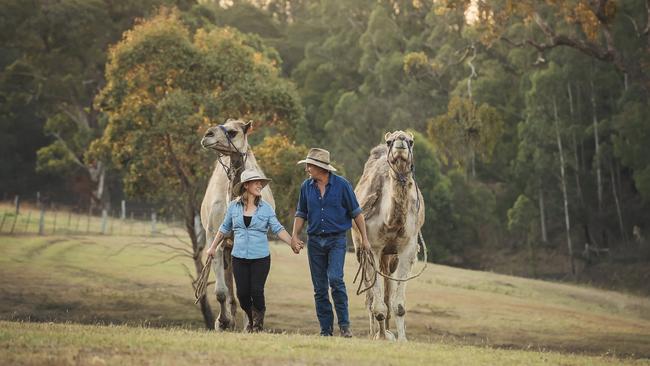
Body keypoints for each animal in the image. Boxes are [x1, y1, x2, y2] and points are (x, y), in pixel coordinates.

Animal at [352, 130, 422, 342]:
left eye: (411, 141)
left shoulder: (407, 249)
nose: (400, 142)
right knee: (370, 297)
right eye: (390, 141)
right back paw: (376, 334)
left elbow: (398, 305)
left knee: (387, 287)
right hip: (361, 250)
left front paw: (402, 339)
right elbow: (377, 305)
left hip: (390, 257)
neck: (391, 221)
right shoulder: (372, 248)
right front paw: (381, 337)